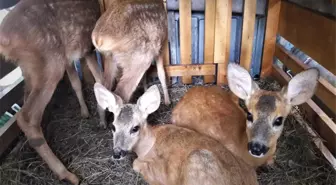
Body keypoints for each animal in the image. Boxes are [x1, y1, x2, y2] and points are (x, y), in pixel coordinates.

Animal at [0, 0, 103, 184]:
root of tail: (4, 41)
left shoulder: (73, 54)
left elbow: (76, 82)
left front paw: (85, 112)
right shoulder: (87, 47)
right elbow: (99, 77)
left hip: (31, 71)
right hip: (50, 62)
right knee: (27, 116)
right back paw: (67, 174)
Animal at [91, 0, 171, 129]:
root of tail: (99, 39)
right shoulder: (161, 43)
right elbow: (161, 73)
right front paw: (168, 102)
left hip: (110, 58)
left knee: (104, 87)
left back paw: (103, 122)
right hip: (141, 56)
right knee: (121, 93)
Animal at [93, 83, 258, 184]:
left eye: (135, 128)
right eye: (113, 127)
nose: (117, 153)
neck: (147, 146)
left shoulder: (159, 170)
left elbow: (136, 164)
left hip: (198, 159)